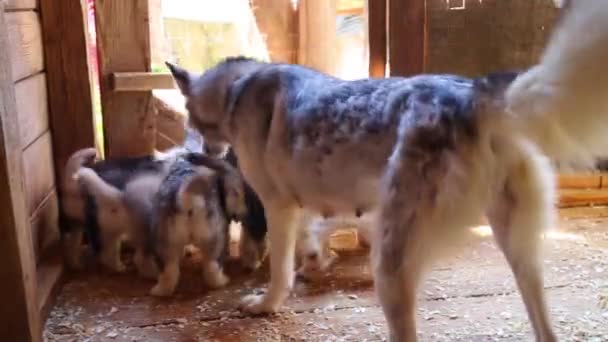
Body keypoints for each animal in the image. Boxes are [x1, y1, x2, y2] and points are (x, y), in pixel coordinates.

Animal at [165, 2, 608, 340]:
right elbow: (311, 239)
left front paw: (267, 303)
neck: (236, 90)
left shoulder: (279, 206)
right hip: (520, 253)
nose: (198, 153)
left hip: (392, 265)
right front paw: (315, 262)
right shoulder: (310, 204)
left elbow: (280, 271)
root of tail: (476, 95)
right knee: (545, 328)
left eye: (190, 119)